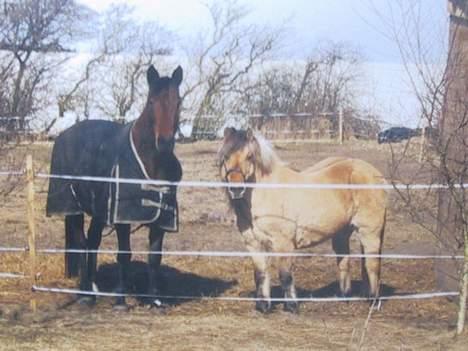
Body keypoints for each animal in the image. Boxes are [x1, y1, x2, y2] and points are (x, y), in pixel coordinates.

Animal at [46, 65, 183, 308]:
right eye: (151, 102)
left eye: (179, 102)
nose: (165, 143)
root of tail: (63, 134)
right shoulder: (122, 217)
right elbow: (124, 254)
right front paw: (120, 299)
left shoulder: (160, 218)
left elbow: (154, 257)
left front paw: (155, 299)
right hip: (74, 208)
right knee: (82, 243)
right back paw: (85, 294)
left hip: (99, 212)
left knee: (93, 241)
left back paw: (93, 288)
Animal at [219, 128, 388, 314]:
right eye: (225, 156)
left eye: (249, 156)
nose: (236, 189)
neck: (265, 195)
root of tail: (375, 175)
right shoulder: (254, 245)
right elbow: (260, 275)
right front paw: (263, 306)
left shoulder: (283, 244)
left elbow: (285, 276)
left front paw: (291, 306)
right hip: (342, 232)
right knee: (345, 261)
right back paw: (344, 297)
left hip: (370, 232)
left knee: (372, 264)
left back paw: (373, 301)